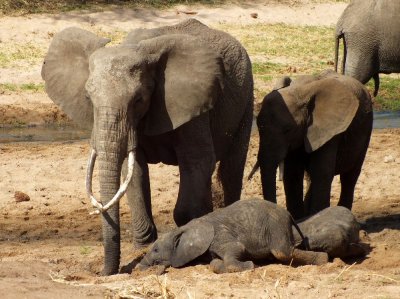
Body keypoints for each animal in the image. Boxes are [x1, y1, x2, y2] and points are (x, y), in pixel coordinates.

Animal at [41, 19, 253, 276]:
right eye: (88, 99)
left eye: (138, 100)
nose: (103, 273)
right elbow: (133, 170)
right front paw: (142, 247)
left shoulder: (193, 104)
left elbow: (198, 160)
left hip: (246, 98)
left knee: (231, 170)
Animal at [137, 199, 328, 274]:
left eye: (156, 249)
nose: (138, 268)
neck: (185, 228)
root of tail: (288, 214)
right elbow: (213, 262)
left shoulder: (219, 234)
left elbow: (237, 247)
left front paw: (250, 265)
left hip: (276, 224)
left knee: (282, 252)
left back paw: (324, 259)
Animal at [255, 70, 374, 220]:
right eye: (257, 126)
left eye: (288, 130)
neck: (300, 92)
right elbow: (292, 173)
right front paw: (299, 219)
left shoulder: (331, 130)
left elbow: (321, 170)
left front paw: (317, 217)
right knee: (310, 177)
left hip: (366, 128)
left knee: (350, 175)